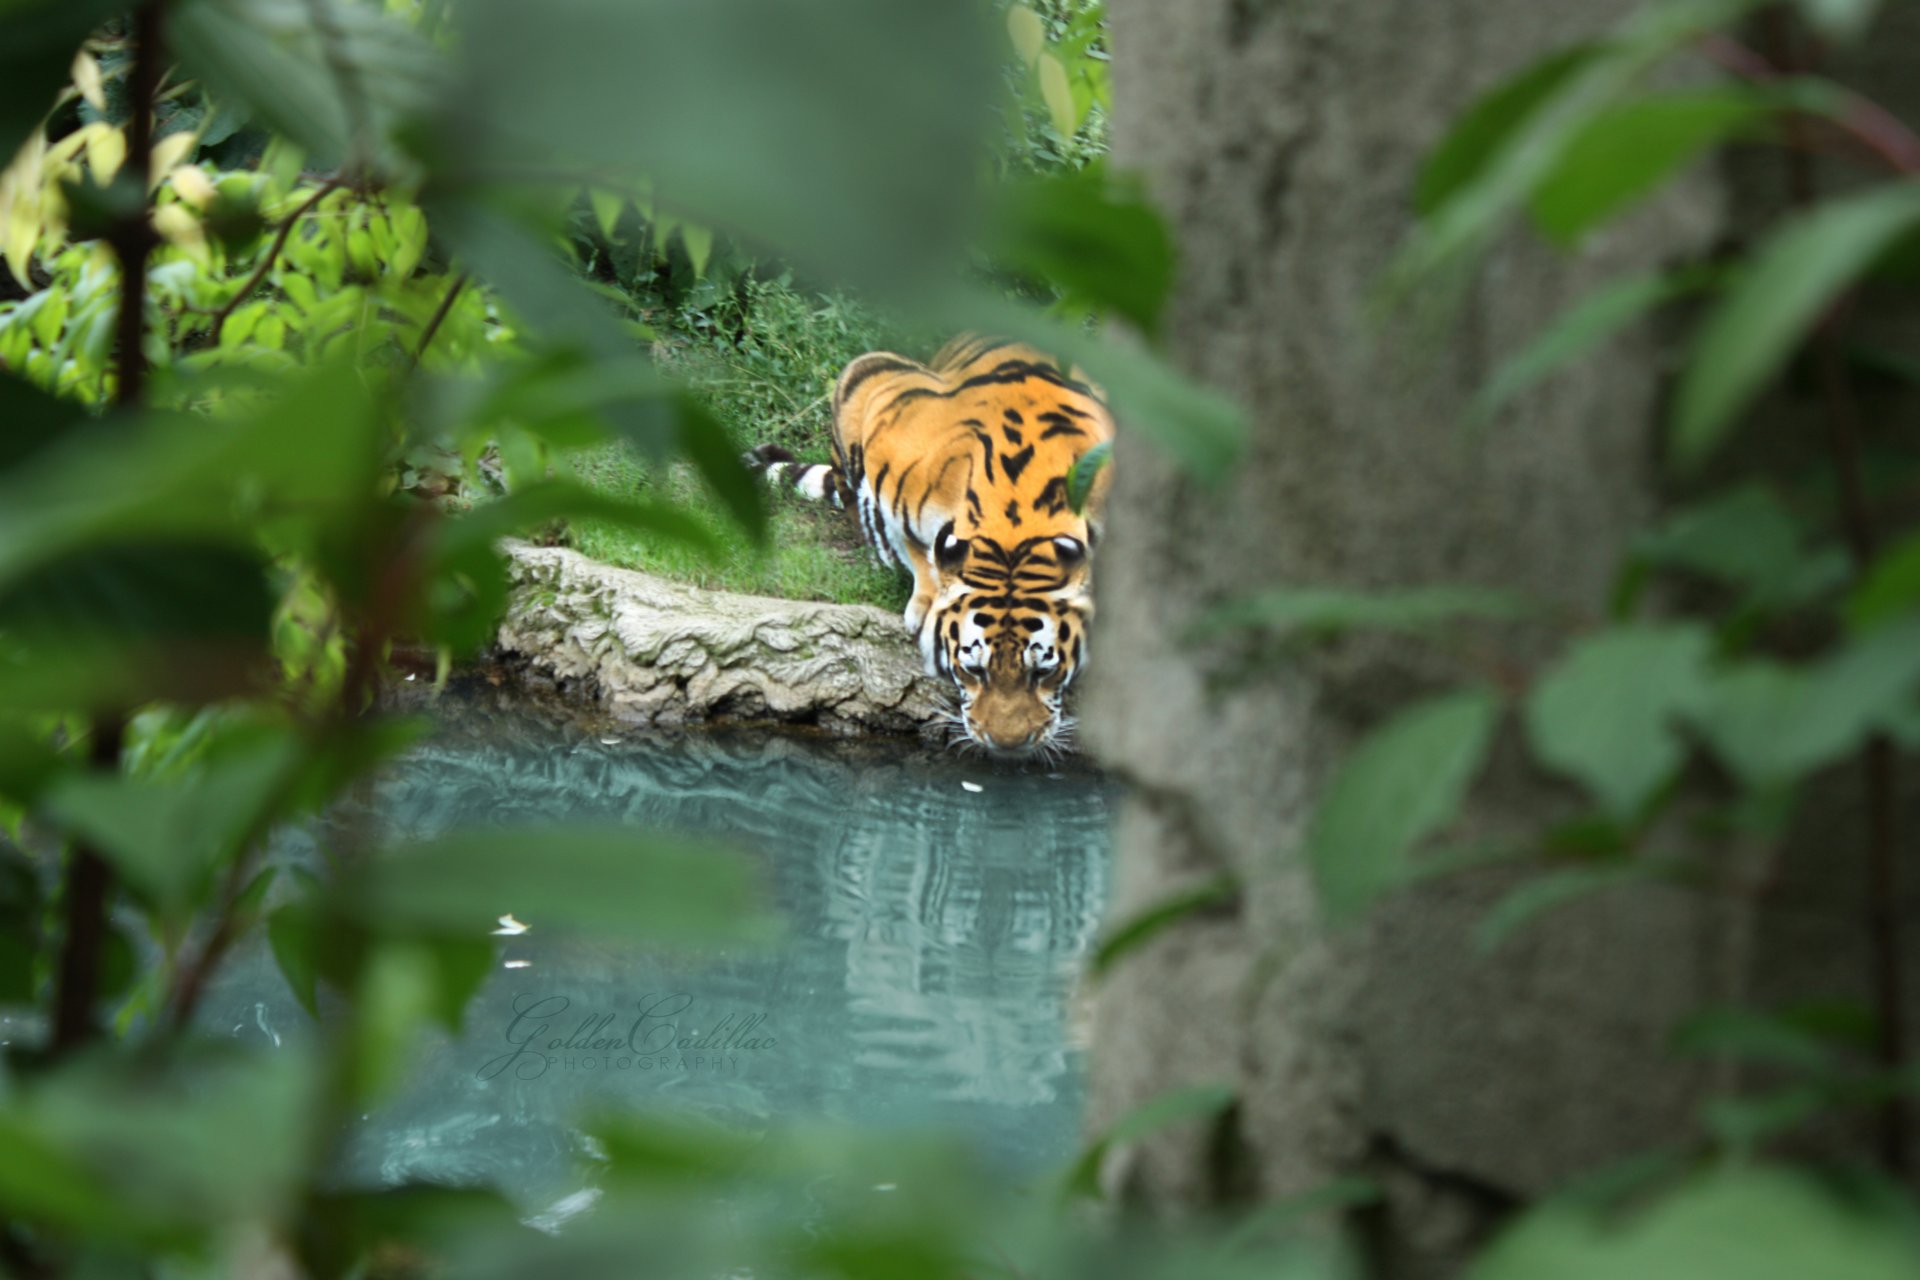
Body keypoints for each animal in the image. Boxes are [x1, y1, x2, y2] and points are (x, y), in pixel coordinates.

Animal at [743, 334, 1114, 758]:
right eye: (973, 670)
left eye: (1044, 672)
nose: (1007, 745)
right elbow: (917, 550)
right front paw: (924, 604)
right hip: (863, 377)